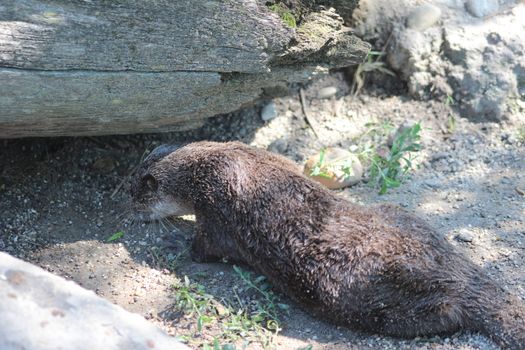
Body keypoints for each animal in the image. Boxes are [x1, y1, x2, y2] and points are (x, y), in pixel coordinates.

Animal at [131, 141, 524, 348]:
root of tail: (461, 276)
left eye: (136, 195)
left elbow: (203, 249)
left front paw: (173, 242)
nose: (130, 206)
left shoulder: (213, 214)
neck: (213, 163)